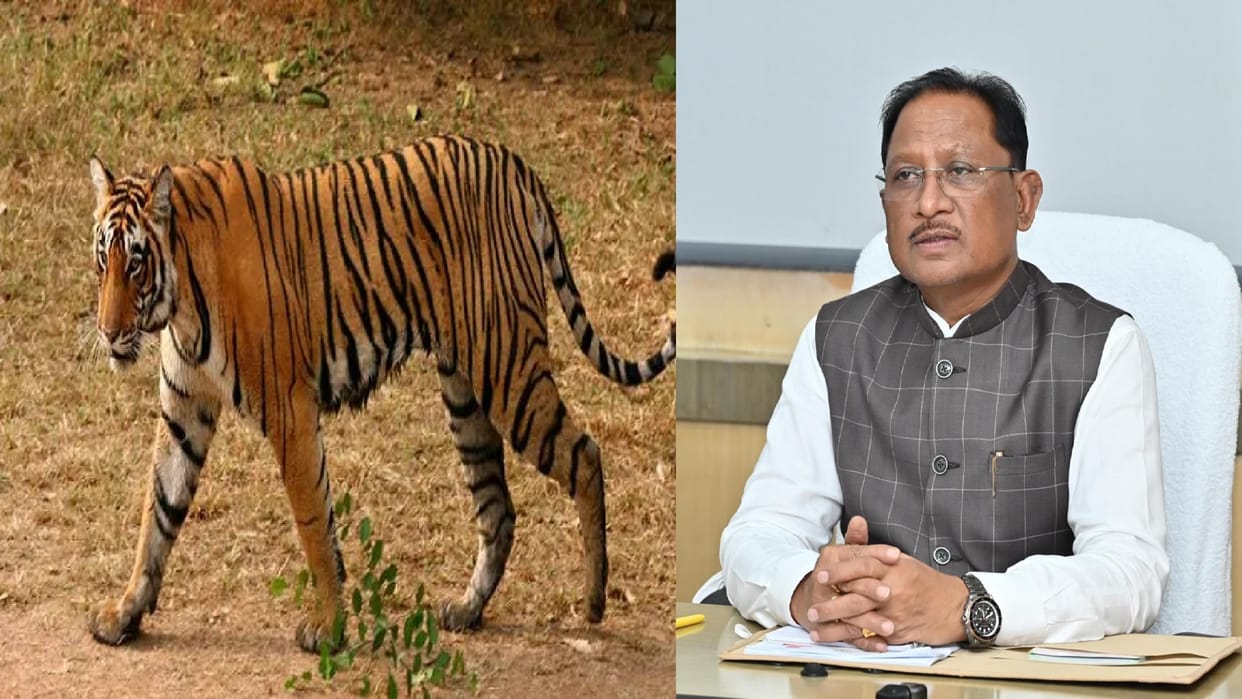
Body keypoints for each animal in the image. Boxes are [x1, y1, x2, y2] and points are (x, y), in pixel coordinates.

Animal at [85, 135, 675, 652]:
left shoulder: (290, 411)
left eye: (136, 260)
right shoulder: (183, 411)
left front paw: (327, 628)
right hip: (465, 393)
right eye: (103, 259)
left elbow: (312, 522)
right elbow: (157, 513)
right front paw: (124, 614)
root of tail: (511, 162)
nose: (108, 333)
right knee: (497, 507)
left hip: (508, 368)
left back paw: (593, 602)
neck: (179, 301)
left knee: (584, 455)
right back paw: (468, 609)